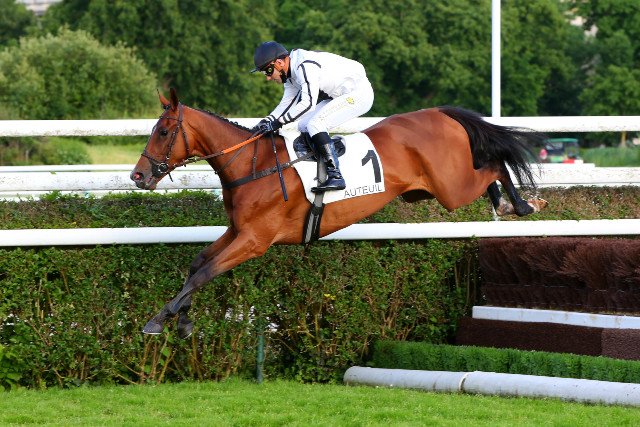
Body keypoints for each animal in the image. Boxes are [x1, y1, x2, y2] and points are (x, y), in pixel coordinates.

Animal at [131, 88, 547, 338]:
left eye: (164, 131)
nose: (138, 175)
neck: (253, 165)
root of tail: (439, 113)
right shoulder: (237, 232)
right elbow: (197, 264)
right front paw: (182, 319)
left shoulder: (254, 240)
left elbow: (205, 273)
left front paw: (159, 320)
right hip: (429, 190)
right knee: (489, 168)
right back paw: (507, 203)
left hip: (451, 188)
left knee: (494, 165)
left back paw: (522, 203)